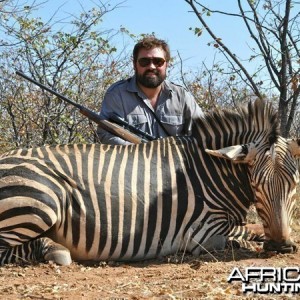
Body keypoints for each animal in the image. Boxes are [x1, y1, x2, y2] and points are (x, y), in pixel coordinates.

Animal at [0, 99, 298, 264]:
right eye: (256, 185)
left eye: (294, 186)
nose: (281, 246)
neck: (210, 171)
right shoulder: (204, 233)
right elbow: (244, 236)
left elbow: (251, 229)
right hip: (41, 200)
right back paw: (54, 250)